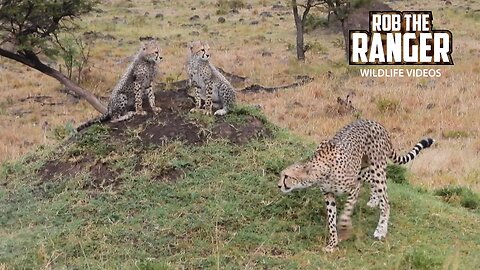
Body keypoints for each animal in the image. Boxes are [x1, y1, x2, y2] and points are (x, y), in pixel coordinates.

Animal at [278, 119, 436, 252]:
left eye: (287, 176)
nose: (279, 186)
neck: (321, 171)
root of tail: (377, 123)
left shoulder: (354, 186)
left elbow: (347, 210)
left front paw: (344, 229)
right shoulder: (328, 194)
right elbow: (331, 219)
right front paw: (332, 243)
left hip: (376, 167)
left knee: (385, 200)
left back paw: (381, 229)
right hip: (363, 168)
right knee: (375, 184)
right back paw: (374, 200)